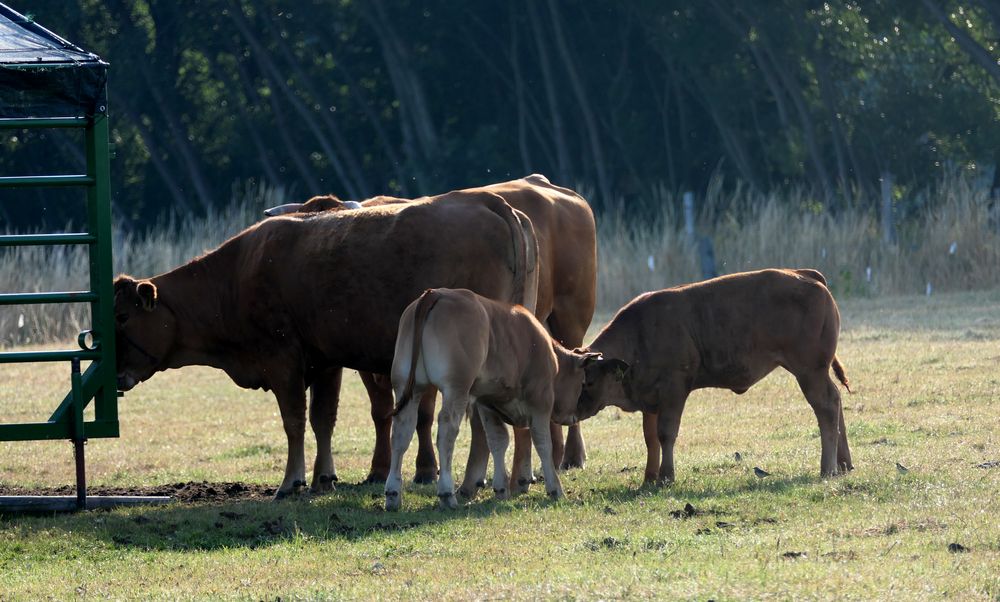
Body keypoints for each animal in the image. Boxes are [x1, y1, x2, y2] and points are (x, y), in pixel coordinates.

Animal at [115, 192, 540, 496]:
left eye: (121, 317)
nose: (116, 373)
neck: (235, 275)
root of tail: (487, 201)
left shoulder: (282, 359)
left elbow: (294, 420)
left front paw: (292, 481)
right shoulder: (325, 361)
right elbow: (323, 419)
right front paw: (323, 477)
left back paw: (474, 482)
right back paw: (517, 479)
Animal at [386, 288, 596, 508]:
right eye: (582, 382)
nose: (575, 415)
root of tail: (435, 294)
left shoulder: (488, 402)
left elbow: (498, 440)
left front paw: (501, 489)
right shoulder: (540, 402)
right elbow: (543, 442)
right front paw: (555, 489)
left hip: (408, 386)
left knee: (401, 431)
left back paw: (393, 494)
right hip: (456, 388)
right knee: (446, 431)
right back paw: (447, 493)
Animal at [580, 268, 852, 482]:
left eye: (589, 381)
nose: (575, 410)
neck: (639, 333)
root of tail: (806, 275)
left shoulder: (674, 392)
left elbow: (666, 433)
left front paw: (666, 477)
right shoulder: (650, 399)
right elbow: (651, 438)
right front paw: (649, 478)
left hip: (809, 373)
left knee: (827, 406)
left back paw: (827, 469)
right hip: (815, 373)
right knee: (836, 401)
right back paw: (844, 465)